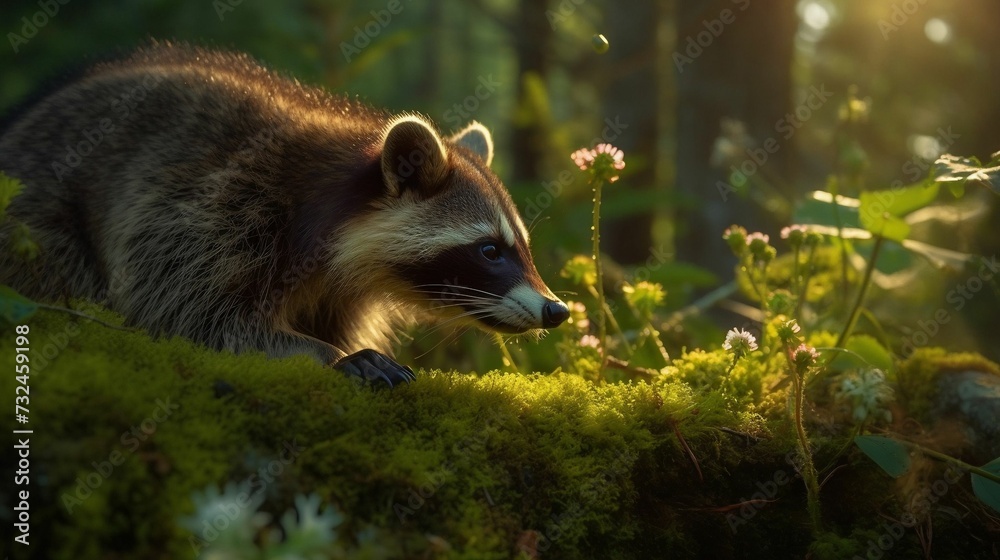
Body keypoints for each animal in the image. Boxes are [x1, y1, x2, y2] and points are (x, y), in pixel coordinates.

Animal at [0, 42, 569, 386]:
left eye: (521, 247)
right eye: (490, 250)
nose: (557, 310)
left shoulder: (339, 288)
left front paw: (333, 345)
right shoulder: (214, 207)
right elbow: (189, 313)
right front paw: (326, 355)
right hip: (37, 210)